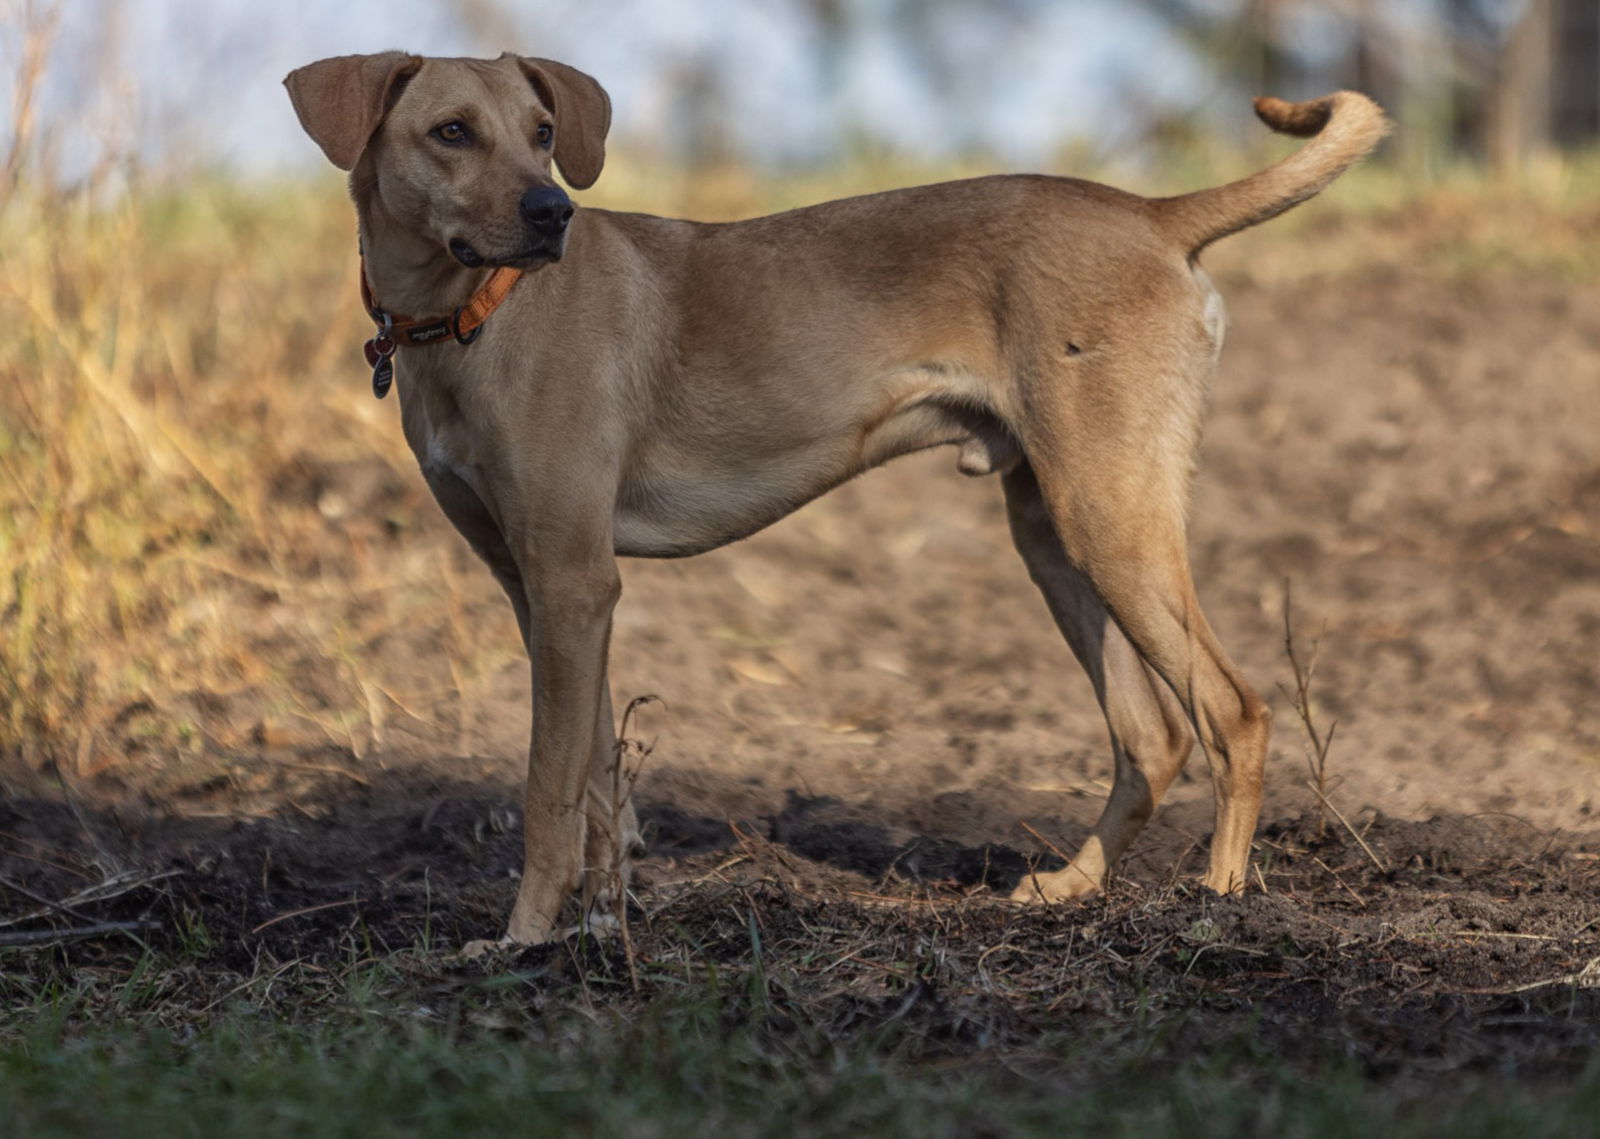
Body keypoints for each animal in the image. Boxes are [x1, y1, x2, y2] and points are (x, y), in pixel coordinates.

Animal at [288, 51, 1388, 940]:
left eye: (543, 133)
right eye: (451, 132)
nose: (551, 212)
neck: (469, 319)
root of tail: (1154, 214)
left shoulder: (571, 581)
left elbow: (548, 788)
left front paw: (521, 943)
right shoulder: (543, 591)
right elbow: (599, 779)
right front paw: (599, 926)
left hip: (1110, 518)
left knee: (1235, 711)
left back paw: (1220, 898)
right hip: (1053, 531)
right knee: (1152, 736)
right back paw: (1073, 887)